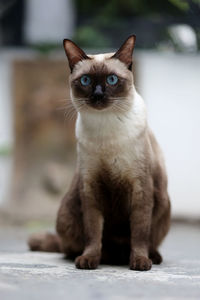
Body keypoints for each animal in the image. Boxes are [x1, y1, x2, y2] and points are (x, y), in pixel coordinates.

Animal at [28, 35, 170, 272]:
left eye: (112, 80)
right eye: (86, 81)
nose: (97, 95)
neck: (106, 128)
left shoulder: (141, 188)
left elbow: (140, 233)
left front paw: (140, 262)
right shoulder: (91, 187)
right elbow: (93, 232)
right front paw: (89, 260)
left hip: (164, 203)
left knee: (148, 240)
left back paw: (151, 257)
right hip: (67, 211)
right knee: (69, 247)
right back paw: (103, 256)